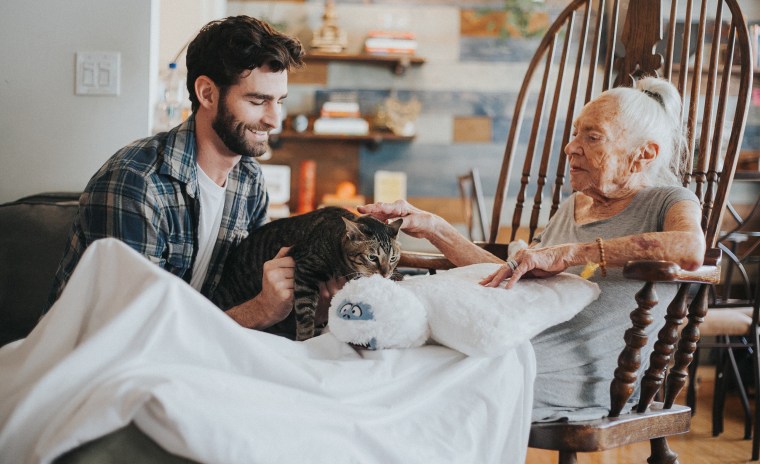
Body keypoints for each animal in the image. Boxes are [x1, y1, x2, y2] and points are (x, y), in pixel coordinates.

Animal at [212, 207, 404, 340]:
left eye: (393, 258)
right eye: (372, 257)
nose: (385, 274)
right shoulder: (306, 271)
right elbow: (305, 314)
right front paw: (305, 339)